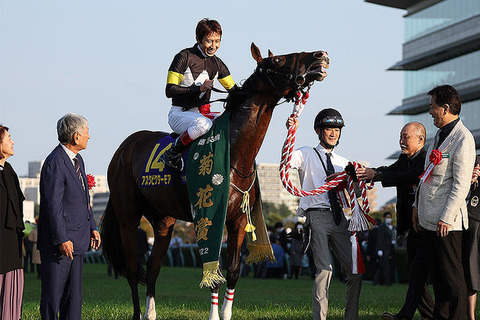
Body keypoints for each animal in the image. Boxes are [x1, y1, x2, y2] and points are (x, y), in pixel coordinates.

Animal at [101, 43, 330, 320]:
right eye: (278, 60)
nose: (320, 55)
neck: (235, 155)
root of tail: (124, 147)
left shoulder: (238, 220)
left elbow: (232, 271)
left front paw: (226, 313)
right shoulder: (212, 216)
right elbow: (215, 272)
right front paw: (214, 315)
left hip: (164, 220)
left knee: (153, 268)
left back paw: (151, 314)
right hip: (128, 214)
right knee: (134, 269)